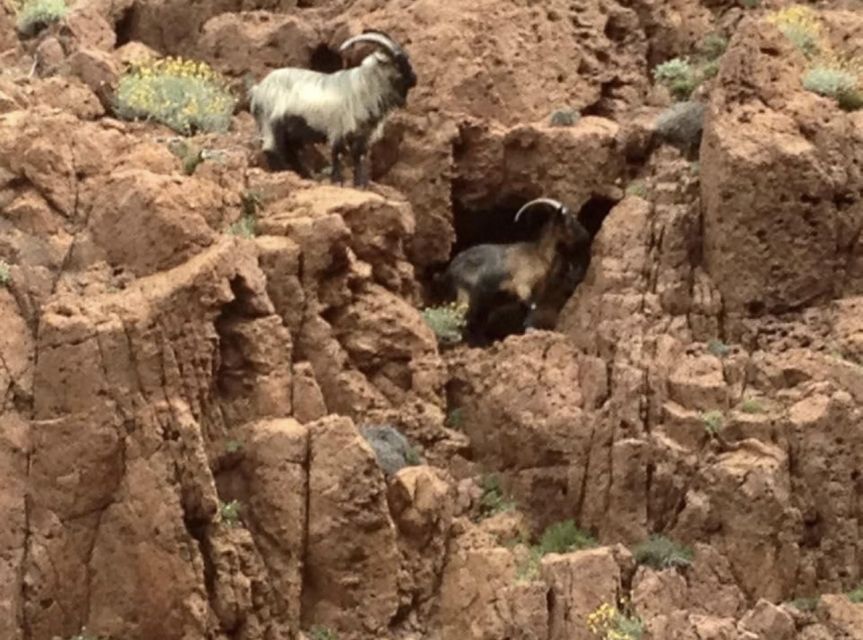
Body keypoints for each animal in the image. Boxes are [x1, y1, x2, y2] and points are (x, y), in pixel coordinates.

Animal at [248, 29, 416, 188]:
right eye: (397, 62)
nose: (414, 79)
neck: (363, 88)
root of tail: (258, 90)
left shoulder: (363, 134)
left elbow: (359, 157)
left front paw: (361, 184)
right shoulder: (338, 129)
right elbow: (338, 155)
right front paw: (338, 181)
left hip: (290, 132)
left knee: (290, 152)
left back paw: (304, 175)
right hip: (271, 122)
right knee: (271, 150)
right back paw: (284, 173)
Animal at [438, 198, 592, 348]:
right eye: (569, 221)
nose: (586, 235)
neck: (539, 255)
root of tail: (450, 269)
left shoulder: (537, 289)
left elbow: (528, 309)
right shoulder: (522, 284)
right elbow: (531, 306)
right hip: (465, 293)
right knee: (460, 317)